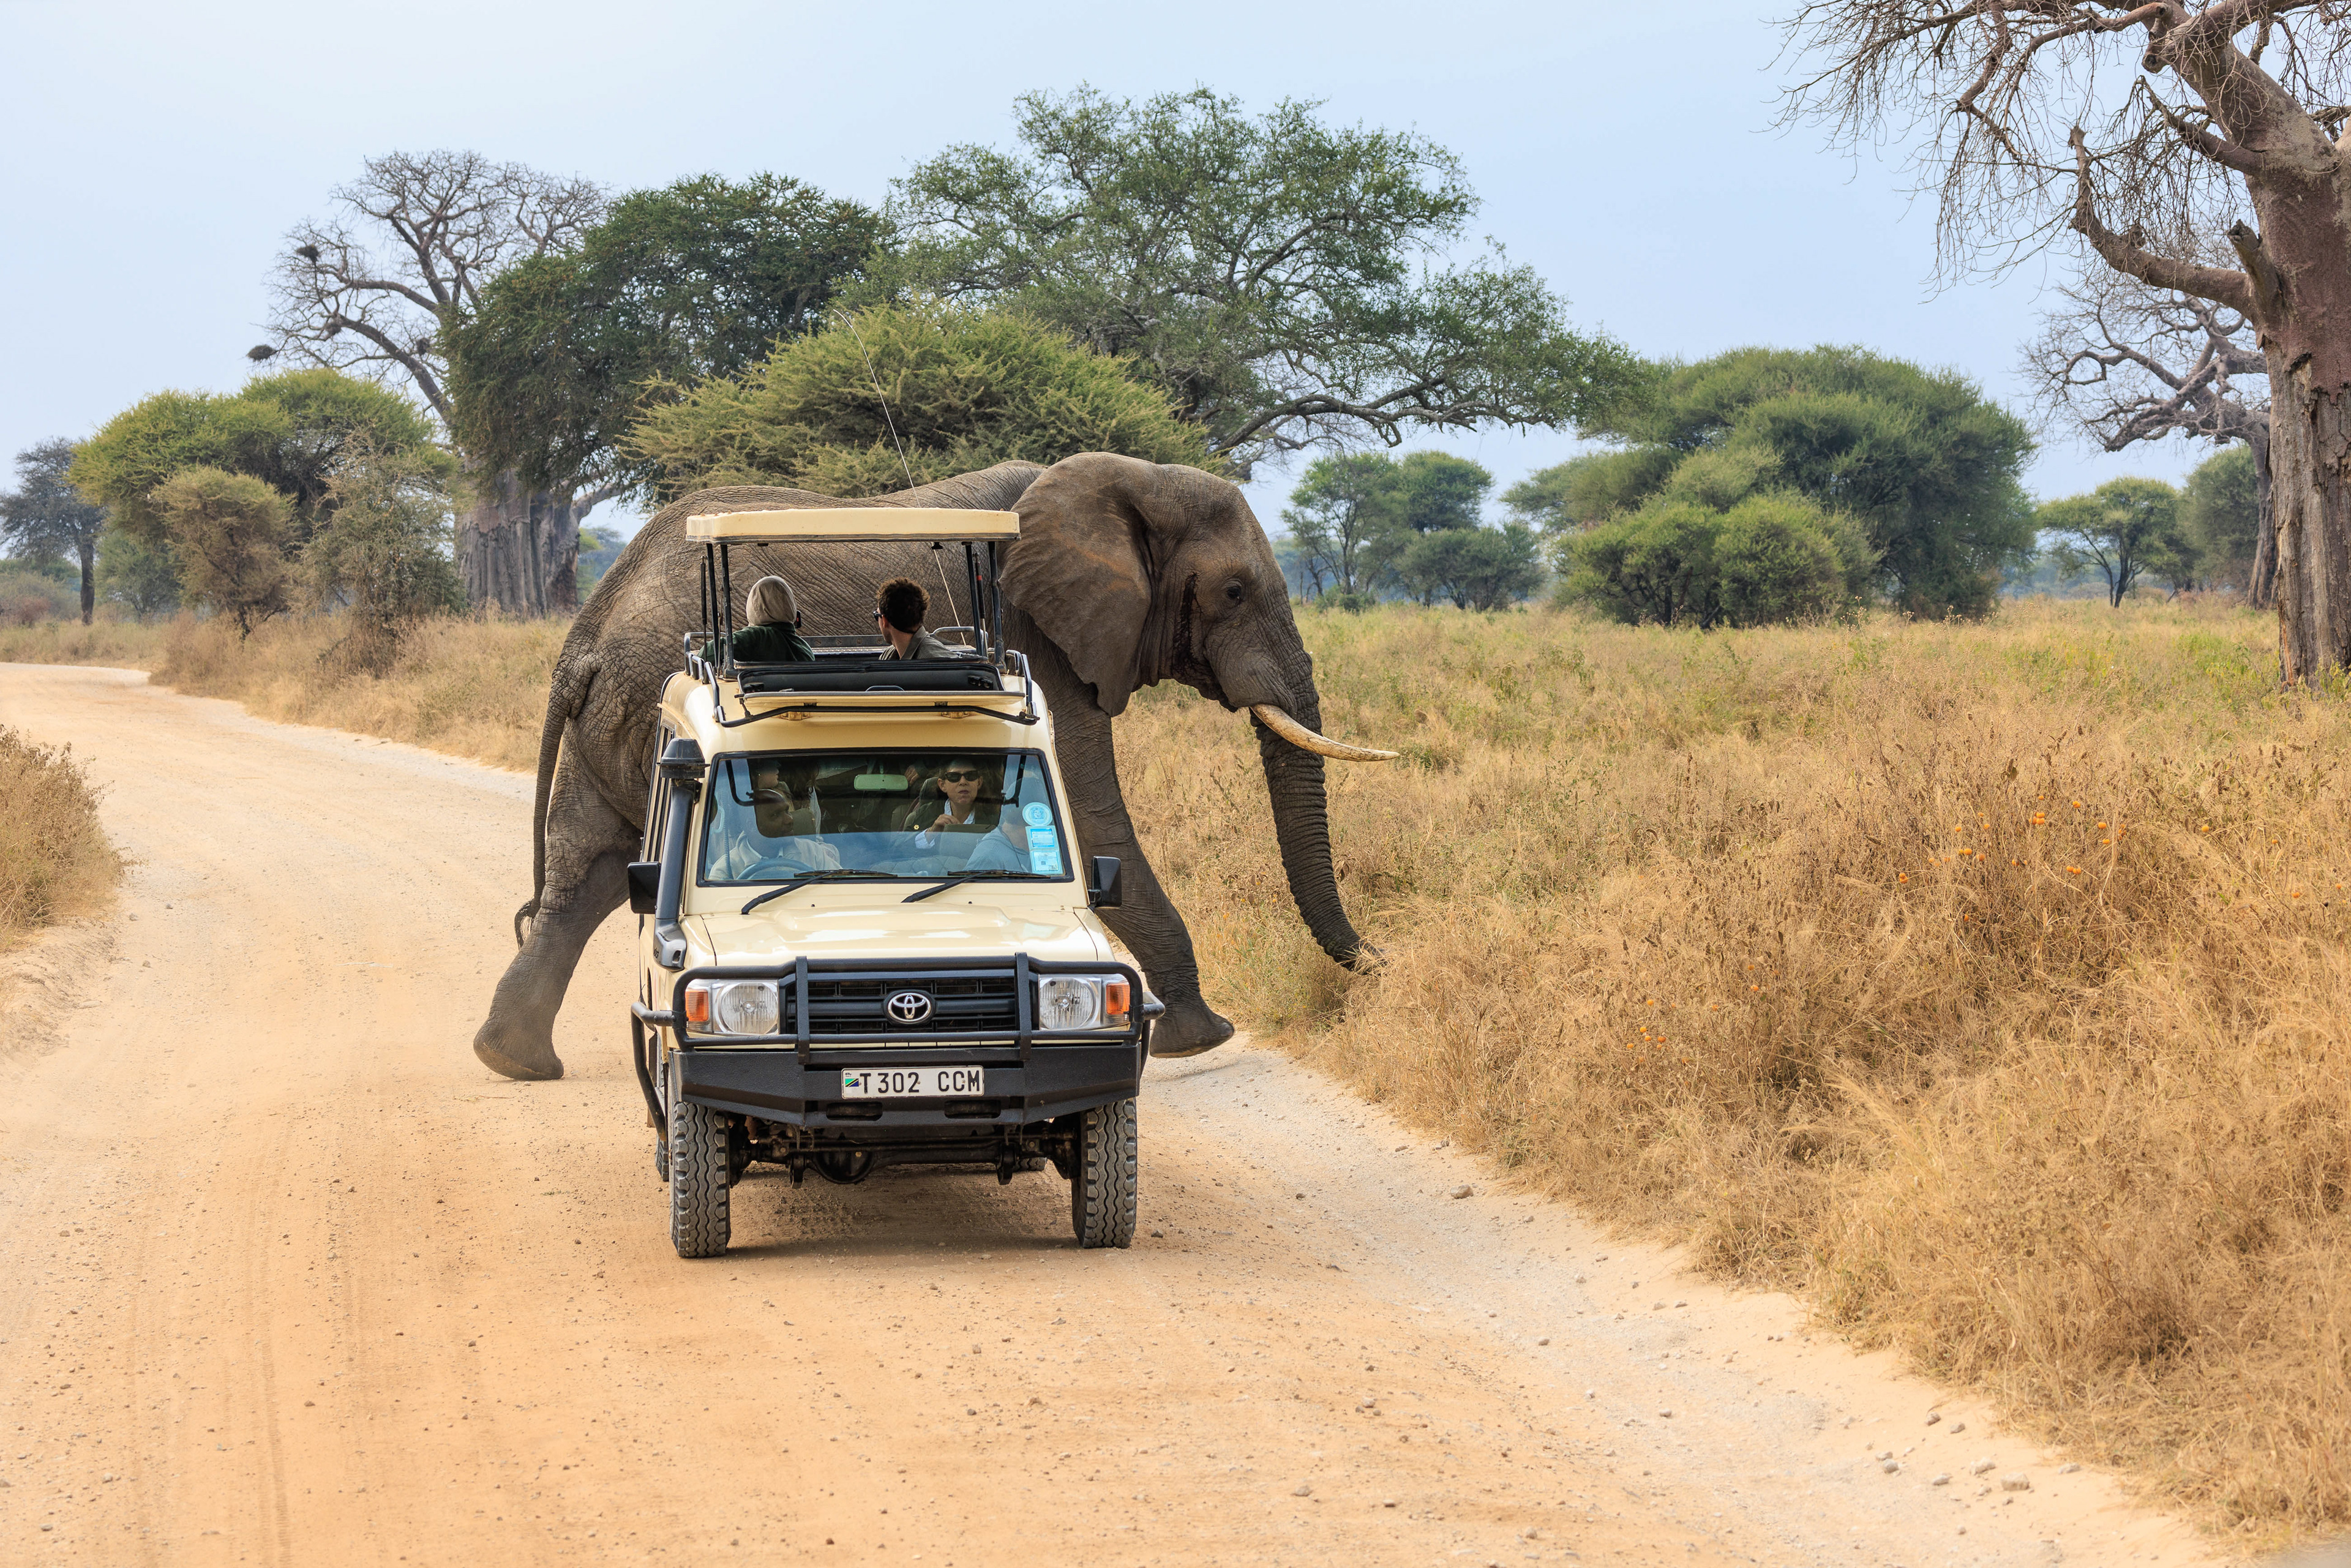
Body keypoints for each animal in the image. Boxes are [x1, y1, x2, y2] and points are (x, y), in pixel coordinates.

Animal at [470, 452, 1390, 1082]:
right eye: (1234, 593)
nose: (1380, 963)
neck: (1123, 478)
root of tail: (583, 642)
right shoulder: (1046, 646)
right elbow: (1096, 814)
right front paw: (1205, 1036)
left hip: (613, 725)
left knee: (586, 873)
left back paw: (512, 1060)